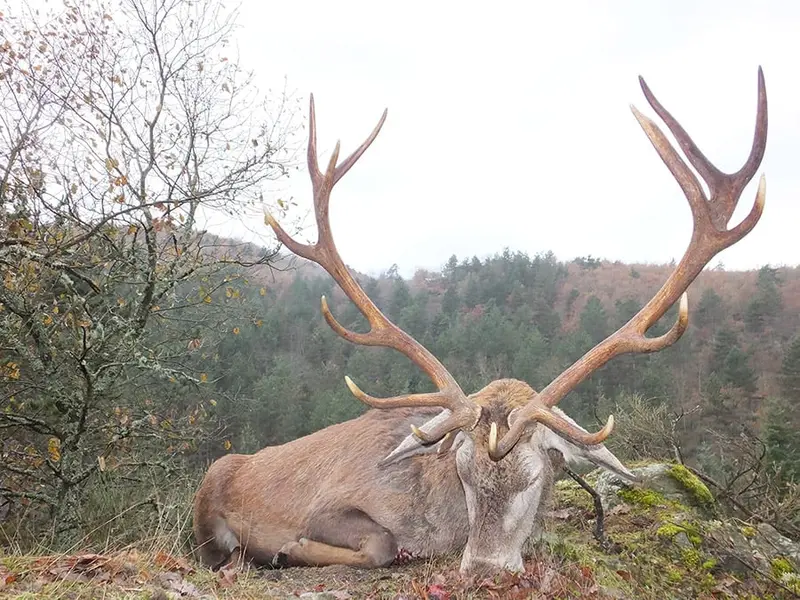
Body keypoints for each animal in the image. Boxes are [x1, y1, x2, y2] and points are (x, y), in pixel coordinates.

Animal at [193, 68, 768, 575]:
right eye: (464, 471)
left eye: (539, 474)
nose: (487, 566)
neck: (436, 520)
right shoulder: (332, 503)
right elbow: (380, 542)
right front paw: (287, 549)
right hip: (209, 488)